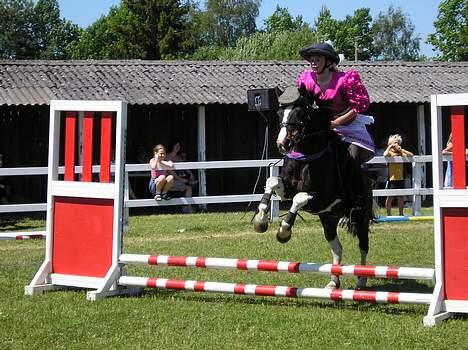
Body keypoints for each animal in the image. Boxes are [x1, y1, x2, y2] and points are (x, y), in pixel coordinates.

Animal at [252, 87, 372, 290]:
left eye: (299, 113)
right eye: (279, 114)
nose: (282, 144)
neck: (307, 155)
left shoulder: (321, 198)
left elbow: (299, 198)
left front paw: (284, 231)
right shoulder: (287, 189)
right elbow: (272, 182)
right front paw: (260, 220)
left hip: (359, 216)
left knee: (363, 245)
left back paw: (362, 280)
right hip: (328, 218)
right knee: (337, 247)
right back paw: (333, 282)